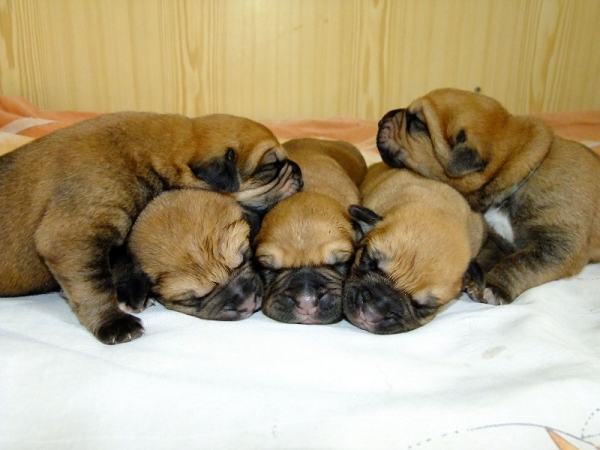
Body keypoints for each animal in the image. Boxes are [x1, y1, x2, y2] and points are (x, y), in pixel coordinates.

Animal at [378, 87, 600, 306]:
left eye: (417, 121)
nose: (381, 120)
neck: (521, 168)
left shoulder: (558, 244)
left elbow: (520, 262)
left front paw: (493, 287)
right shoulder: (497, 238)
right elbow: (487, 254)